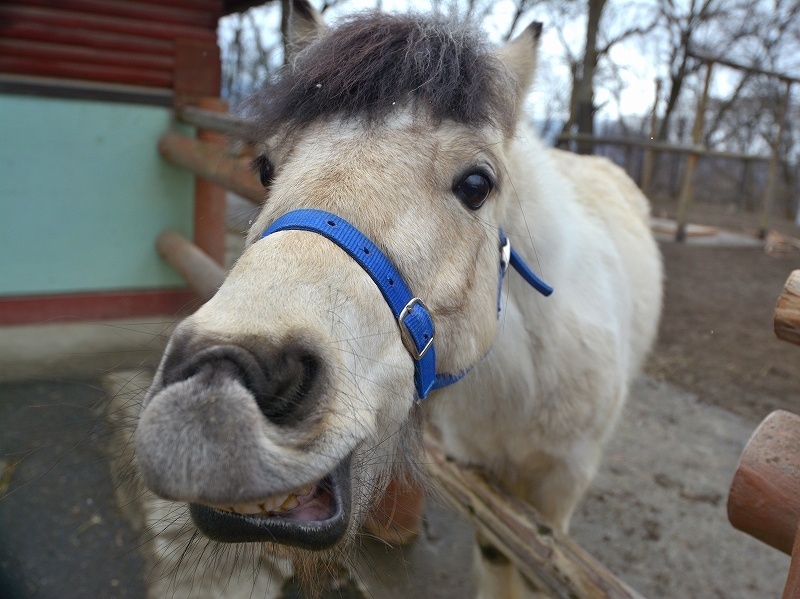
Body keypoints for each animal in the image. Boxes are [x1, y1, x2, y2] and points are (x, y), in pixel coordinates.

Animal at [131, 3, 664, 596]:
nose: (216, 386)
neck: (526, 382)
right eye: (265, 168)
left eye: (477, 184)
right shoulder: (480, 465)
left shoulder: (564, 482)